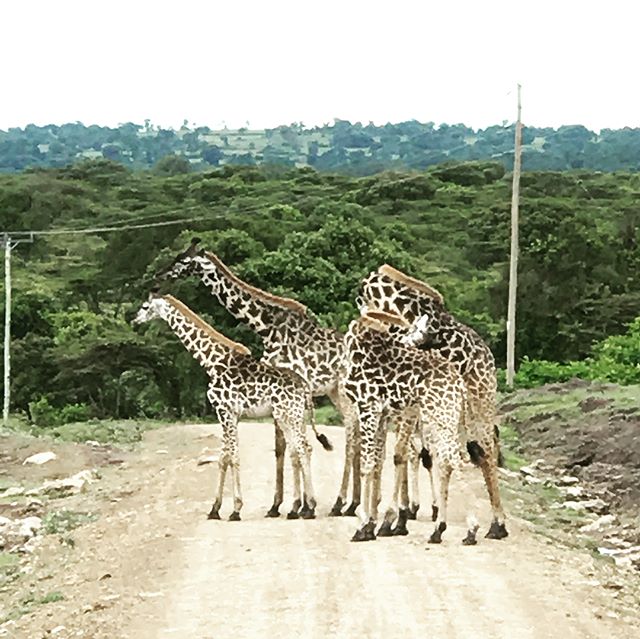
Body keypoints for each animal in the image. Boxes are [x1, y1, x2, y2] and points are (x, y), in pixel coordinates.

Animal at [129, 292, 330, 524]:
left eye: (145, 306)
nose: (134, 320)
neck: (211, 361)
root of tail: (305, 387)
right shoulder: (231, 415)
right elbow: (223, 458)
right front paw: (214, 509)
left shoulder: (225, 410)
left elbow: (233, 456)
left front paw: (235, 510)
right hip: (291, 416)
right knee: (301, 449)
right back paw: (300, 507)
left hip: (288, 415)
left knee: (301, 449)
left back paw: (307, 507)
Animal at [155, 238, 364, 516]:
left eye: (184, 260)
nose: (158, 275)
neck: (266, 327)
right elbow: (282, 448)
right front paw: (282, 505)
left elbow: (290, 448)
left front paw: (293, 505)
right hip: (336, 393)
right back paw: (351, 503)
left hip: (344, 391)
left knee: (353, 437)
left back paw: (344, 503)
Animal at [342, 310, 478, 544]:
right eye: (417, 329)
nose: (428, 339)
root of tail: (459, 385)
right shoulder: (381, 414)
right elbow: (377, 464)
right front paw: (371, 525)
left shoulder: (368, 407)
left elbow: (367, 466)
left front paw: (363, 527)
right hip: (449, 420)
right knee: (453, 460)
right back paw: (442, 529)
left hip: (440, 417)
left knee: (452, 460)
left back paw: (463, 530)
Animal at [358, 264, 508, 540]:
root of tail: (487, 357)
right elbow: (393, 454)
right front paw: (388, 519)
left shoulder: (405, 406)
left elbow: (401, 453)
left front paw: (390, 519)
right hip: (457, 411)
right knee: (464, 453)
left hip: (478, 400)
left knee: (484, 450)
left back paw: (496, 525)